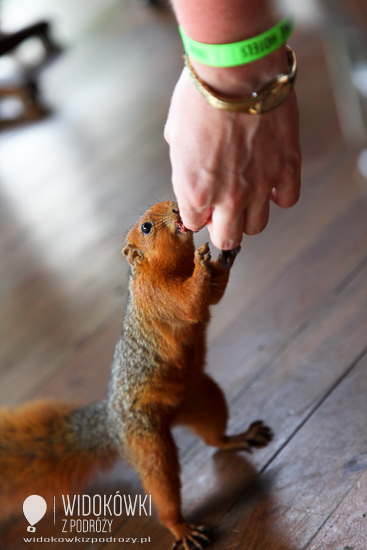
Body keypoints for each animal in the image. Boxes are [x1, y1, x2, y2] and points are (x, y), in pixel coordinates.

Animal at [0, 203, 274, 550]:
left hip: (204, 399)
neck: (171, 267)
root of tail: (112, 423)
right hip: (147, 439)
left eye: (170, 203)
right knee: (162, 482)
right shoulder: (156, 295)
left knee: (215, 438)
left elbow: (212, 297)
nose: (178, 209)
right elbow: (190, 303)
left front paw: (223, 257)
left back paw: (239, 437)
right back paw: (180, 527)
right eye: (146, 227)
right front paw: (202, 264)